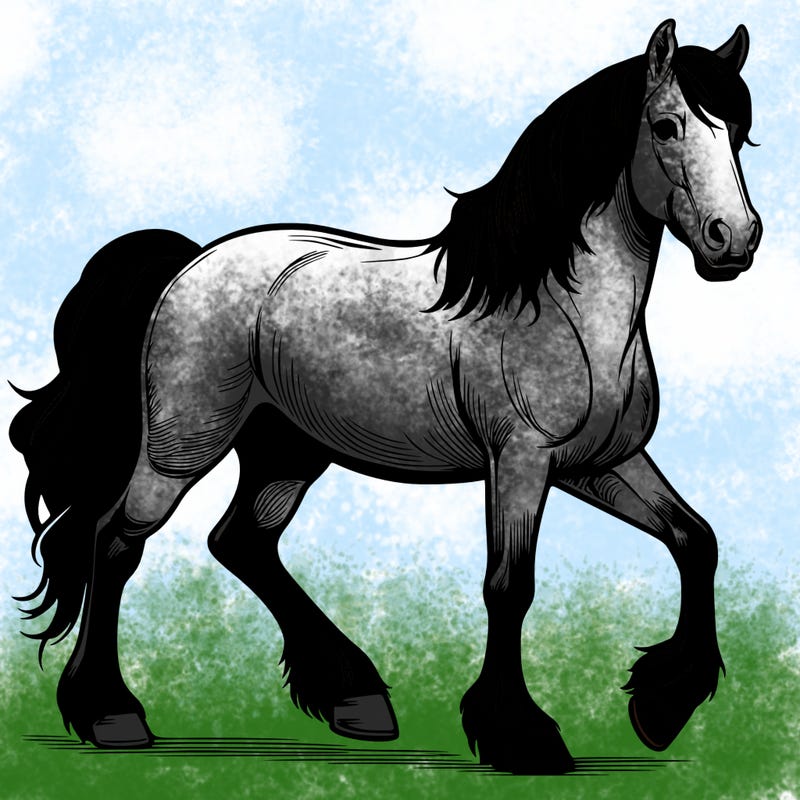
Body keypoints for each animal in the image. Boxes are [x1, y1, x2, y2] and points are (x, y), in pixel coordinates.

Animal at [10, 20, 761, 774]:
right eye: (666, 126)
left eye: (740, 131)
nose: (735, 239)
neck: (562, 309)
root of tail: (190, 262)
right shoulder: (521, 460)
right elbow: (509, 586)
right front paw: (522, 736)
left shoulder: (599, 463)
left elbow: (696, 539)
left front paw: (661, 708)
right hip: (182, 447)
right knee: (115, 541)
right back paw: (111, 715)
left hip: (287, 451)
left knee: (242, 541)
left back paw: (355, 698)